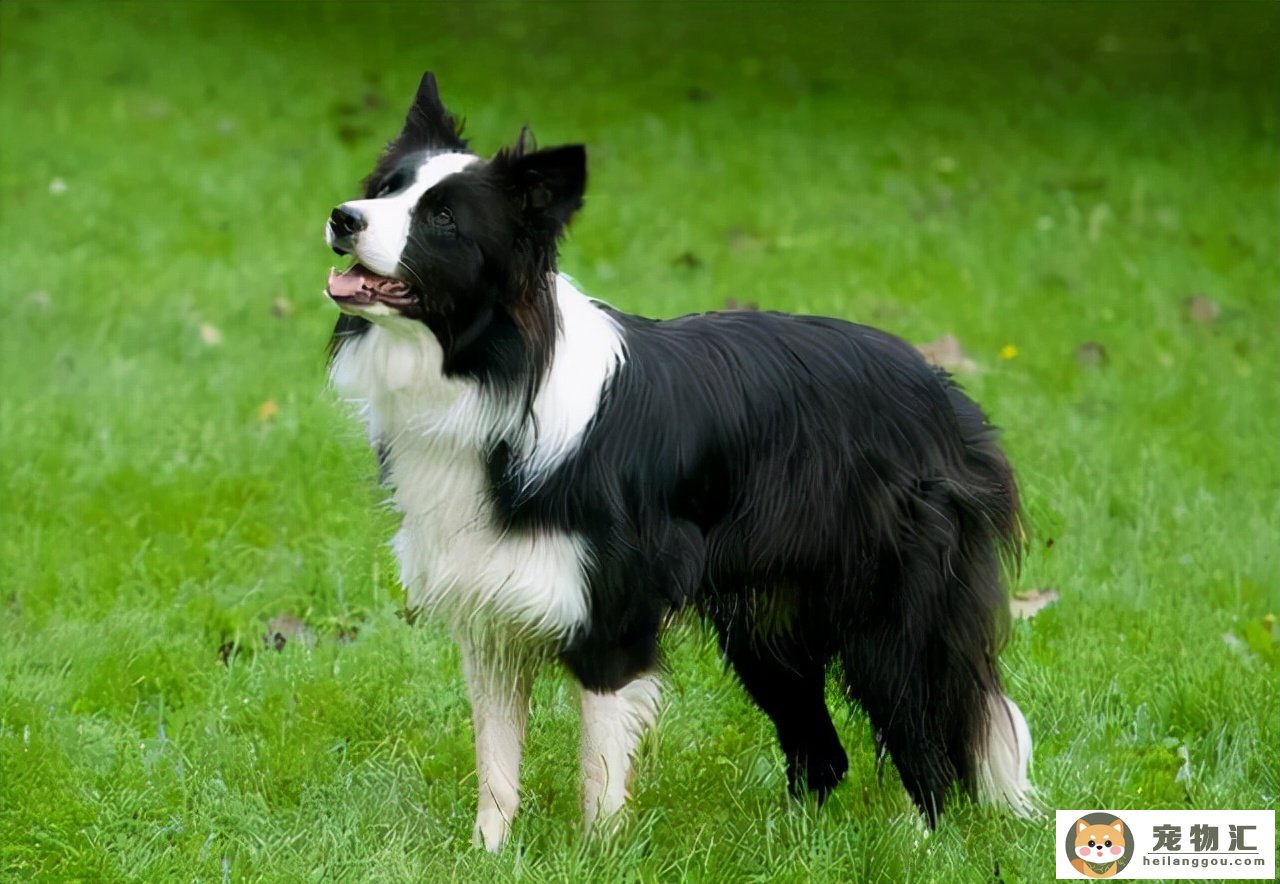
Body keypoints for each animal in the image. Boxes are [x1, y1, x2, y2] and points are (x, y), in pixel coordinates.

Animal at [325, 71, 1034, 849]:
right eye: (386, 188)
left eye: (444, 219)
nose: (342, 217)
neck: (496, 372)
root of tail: (947, 395)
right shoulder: (492, 618)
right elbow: (496, 761)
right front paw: (488, 853)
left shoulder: (613, 614)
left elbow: (600, 770)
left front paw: (597, 855)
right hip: (770, 626)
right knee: (823, 752)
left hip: (892, 617)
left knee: (928, 741)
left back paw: (919, 845)